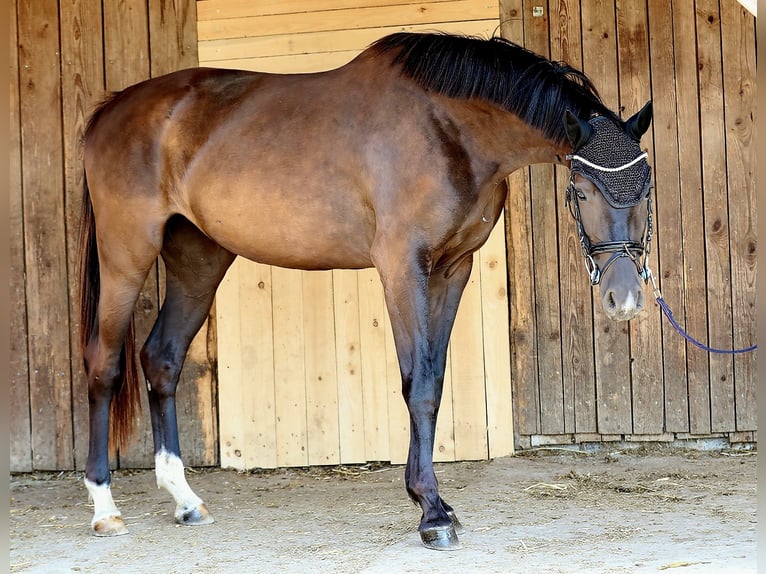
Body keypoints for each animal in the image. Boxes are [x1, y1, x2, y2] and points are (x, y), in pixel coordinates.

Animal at [78, 32, 654, 550]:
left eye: (647, 187)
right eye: (582, 190)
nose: (624, 299)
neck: (448, 129)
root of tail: (110, 111)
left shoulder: (454, 268)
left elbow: (433, 379)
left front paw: (433, 503)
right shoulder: (401, 264)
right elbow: (417, 384)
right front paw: (432, 513)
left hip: (198, 257)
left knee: (162, 358)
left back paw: (185, 499)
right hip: (126, 252)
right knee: (105, 364)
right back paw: (105, 508)